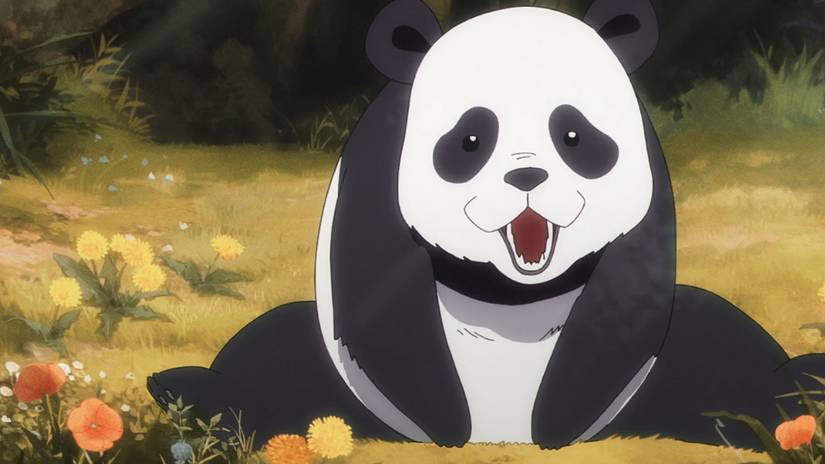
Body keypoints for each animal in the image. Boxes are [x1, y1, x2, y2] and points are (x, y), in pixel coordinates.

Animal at [148, 0, 825, 450]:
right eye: (470, 140)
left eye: (573, 135)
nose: (527, 177)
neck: (511, 290)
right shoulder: (378, 161)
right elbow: (377, 296)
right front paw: (450, 428)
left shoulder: (648, 193)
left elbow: (631, 301)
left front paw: (555, 428)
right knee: (269, 359)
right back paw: (188, 394)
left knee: (724, 352)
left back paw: (799, 392)